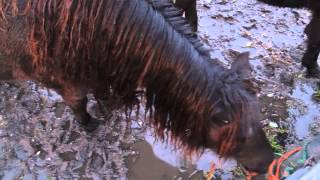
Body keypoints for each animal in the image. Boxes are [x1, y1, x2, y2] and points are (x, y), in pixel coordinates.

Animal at [0, 0, 276, 174]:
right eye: (241, 135)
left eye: (260, 119)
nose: (270, 164)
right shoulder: (63, 81)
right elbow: (79, 104)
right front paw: (91, 124)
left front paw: (106, 106)